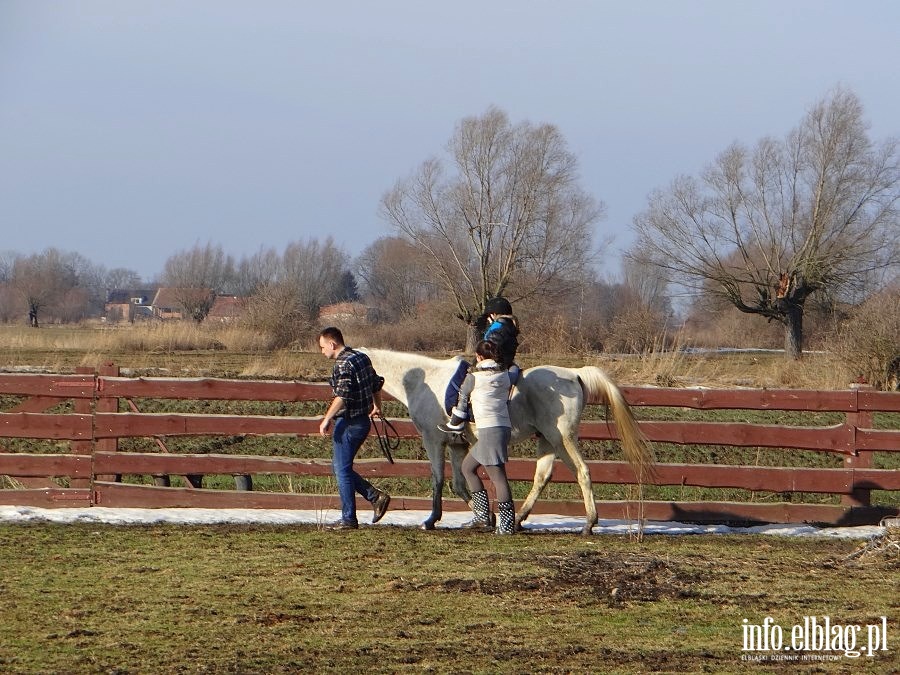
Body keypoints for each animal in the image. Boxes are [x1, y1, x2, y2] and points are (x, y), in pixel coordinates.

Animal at [364, 348, 652, 532]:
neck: (424, 381)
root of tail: (575, 374)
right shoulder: (458, 445)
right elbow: (459, 484)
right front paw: (486, 517)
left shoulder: (433, 441)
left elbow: (437, 480)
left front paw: (431, 520)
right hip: (548, 441)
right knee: (542, 476)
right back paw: (519, 518)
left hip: (563, 439)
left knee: (582, 472)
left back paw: (589, 523)